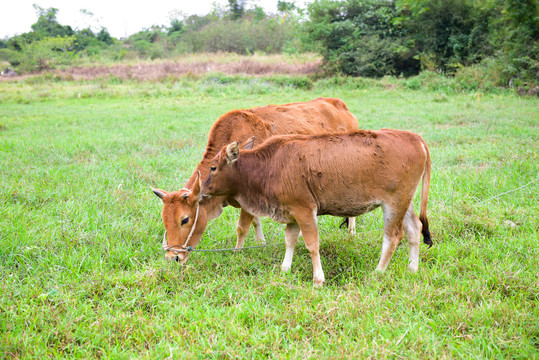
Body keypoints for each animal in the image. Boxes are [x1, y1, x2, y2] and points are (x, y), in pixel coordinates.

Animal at [154, 97, 360, 262]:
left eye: (185, 220)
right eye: (164, 220)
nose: (172, 257)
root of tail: (340, 104)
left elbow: (242, 227)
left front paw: (237, 253)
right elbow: (255, 221)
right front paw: (261, 242)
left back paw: (351, 233)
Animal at [202, 130, 434, 286]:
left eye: (213, 168)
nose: (203, 190)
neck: (270, 165)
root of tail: (415, 138)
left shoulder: (305, 210)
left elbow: (312, 245)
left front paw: (318, 279)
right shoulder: (293, 214)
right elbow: (290, 241)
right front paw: (285, 269)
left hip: (394, 203)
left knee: (393, 236)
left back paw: (378, 271)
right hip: (406, 201)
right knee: (414, 229)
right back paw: (412, 268)